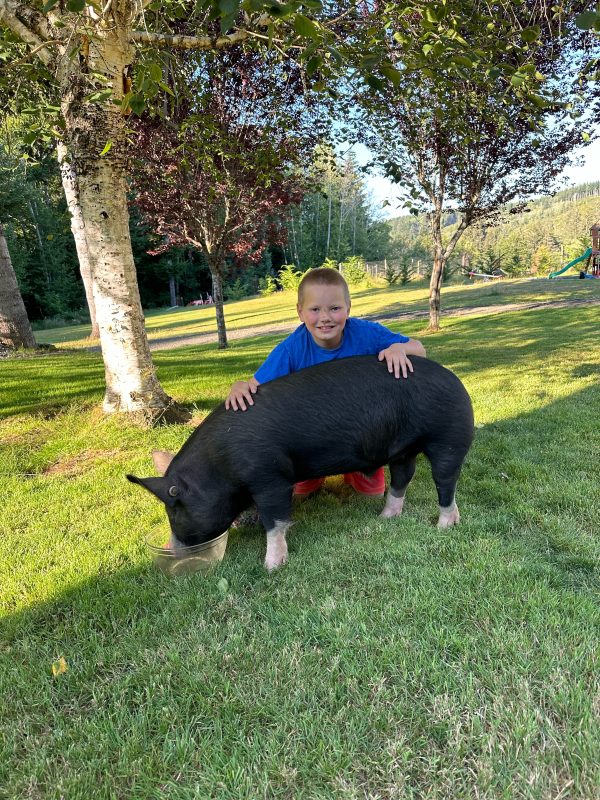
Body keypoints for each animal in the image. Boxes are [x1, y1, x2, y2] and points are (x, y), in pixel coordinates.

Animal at [126, 356, 474, 568]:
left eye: (174, 509)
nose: (172, 550)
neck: (219, 465)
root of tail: (455, 379)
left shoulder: (271, 478)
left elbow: (275, 520)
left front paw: (271, 567)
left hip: (449, 438)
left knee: (446, 481)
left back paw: (444, 525)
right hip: (402, 450)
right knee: (403, 476)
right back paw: (385, 517)